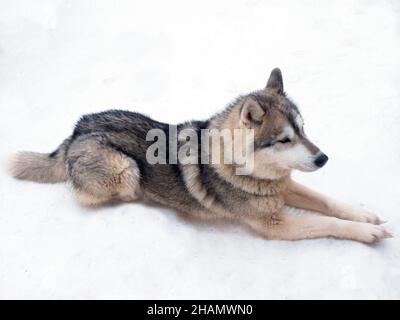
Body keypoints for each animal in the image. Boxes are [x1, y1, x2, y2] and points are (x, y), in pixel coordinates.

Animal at [8, 67, 390, 242]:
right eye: (283, 139)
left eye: (303, 131)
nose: (323, 158)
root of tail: (75, 132)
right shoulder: (276, 225)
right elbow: (328, 223)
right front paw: (367, 233)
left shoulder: (284, 186)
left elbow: (328, 202)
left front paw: (365, 216)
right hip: (126, 170)